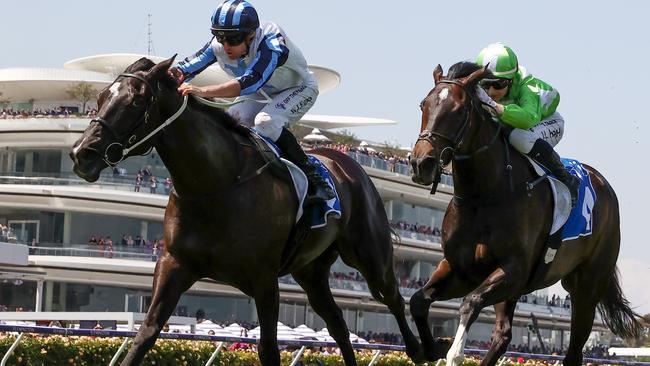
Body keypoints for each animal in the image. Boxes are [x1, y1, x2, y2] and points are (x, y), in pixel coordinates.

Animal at [67, 55, 420, 364]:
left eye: (135, 102)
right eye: (101, 96)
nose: (82, 153)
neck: (215, 185)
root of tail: (349, 165)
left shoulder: (264, 280)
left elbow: (268, 350)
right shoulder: (174, 264)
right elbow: (146, 334)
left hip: (370, 256)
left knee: (393, 297)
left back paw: (421, 348)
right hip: (312, 271)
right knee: (338, 325)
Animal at [404, 61, 636, 364]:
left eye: (459, 110)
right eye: (424, 105)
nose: (422, 163)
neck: (485, 195)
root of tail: (604, 185)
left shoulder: (513, 270)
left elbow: (470, 302)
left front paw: (453, 351)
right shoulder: (460, 269)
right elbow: (418, 300)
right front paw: (432, 348)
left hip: (587, 286)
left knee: (573, 349)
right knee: (502, 335)